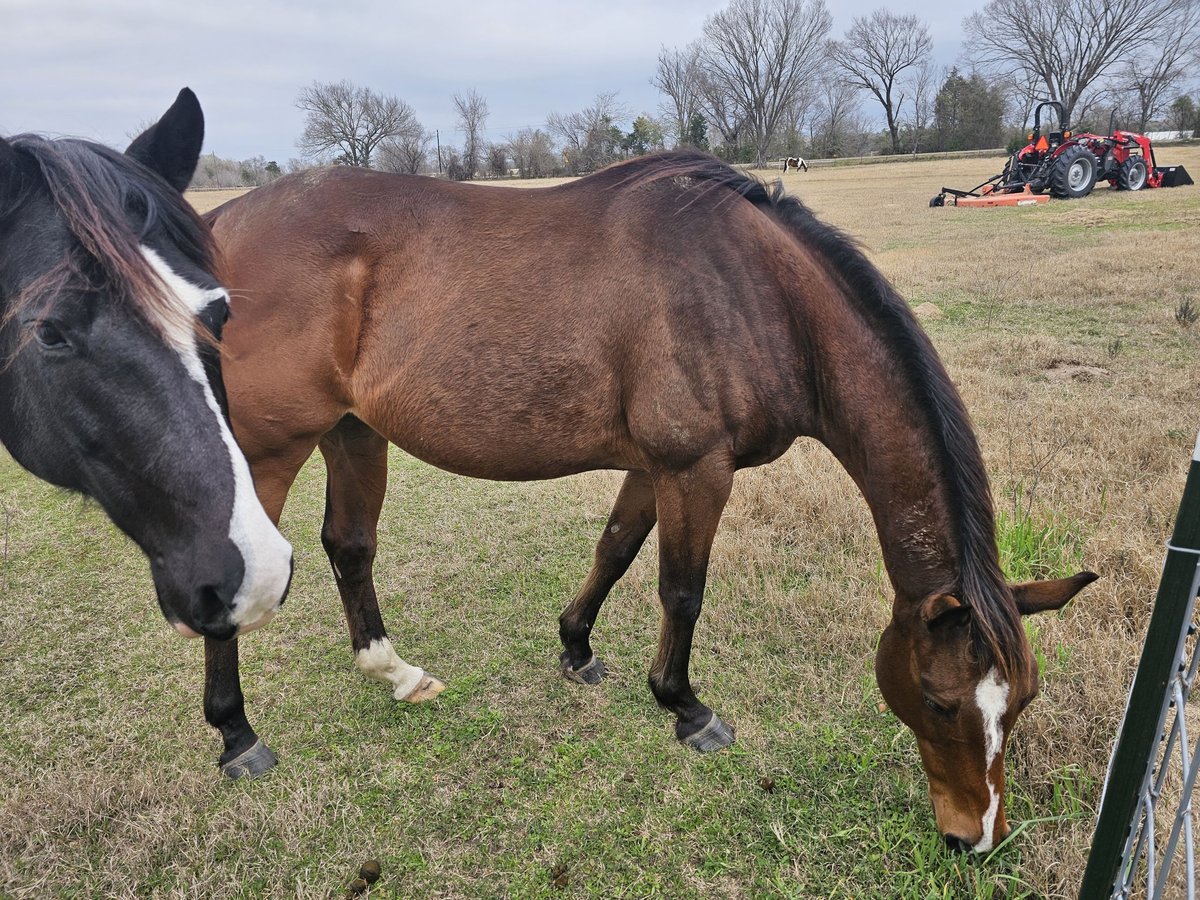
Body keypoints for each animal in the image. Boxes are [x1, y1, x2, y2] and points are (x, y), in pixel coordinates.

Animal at [208, 150, 1099, 854]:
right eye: (942, 703)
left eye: (1023, 701)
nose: (975, 839)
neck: (758, 293)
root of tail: (220, 222)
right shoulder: (696, 469)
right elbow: (682, 590)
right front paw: (686, 707)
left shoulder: (655, 468)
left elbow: (614, 547)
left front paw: (576, 647)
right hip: (269, 452)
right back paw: (237, 735)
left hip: (353, 432)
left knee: (350, 546)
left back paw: (393, 672)